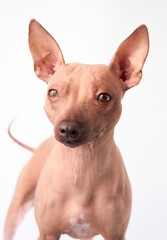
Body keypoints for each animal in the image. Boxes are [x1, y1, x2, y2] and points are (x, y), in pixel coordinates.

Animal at [3, 19, 149, 240]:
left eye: (104, 97)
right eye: (53, 93)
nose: (68, 129)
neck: (82, 168)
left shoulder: (115, 234)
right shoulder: (48, 233)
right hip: (16, 209)